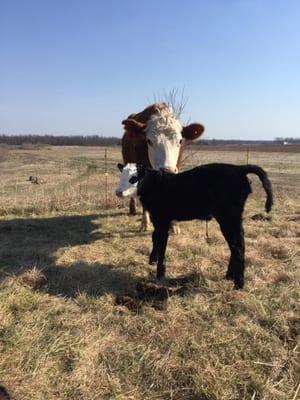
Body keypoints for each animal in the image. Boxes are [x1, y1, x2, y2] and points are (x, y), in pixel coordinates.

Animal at [118, 101, 205, 230]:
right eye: (149, 141)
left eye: (180, 141)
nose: (166, 171)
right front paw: (145, 223)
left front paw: (174, 226)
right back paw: (133, 209)